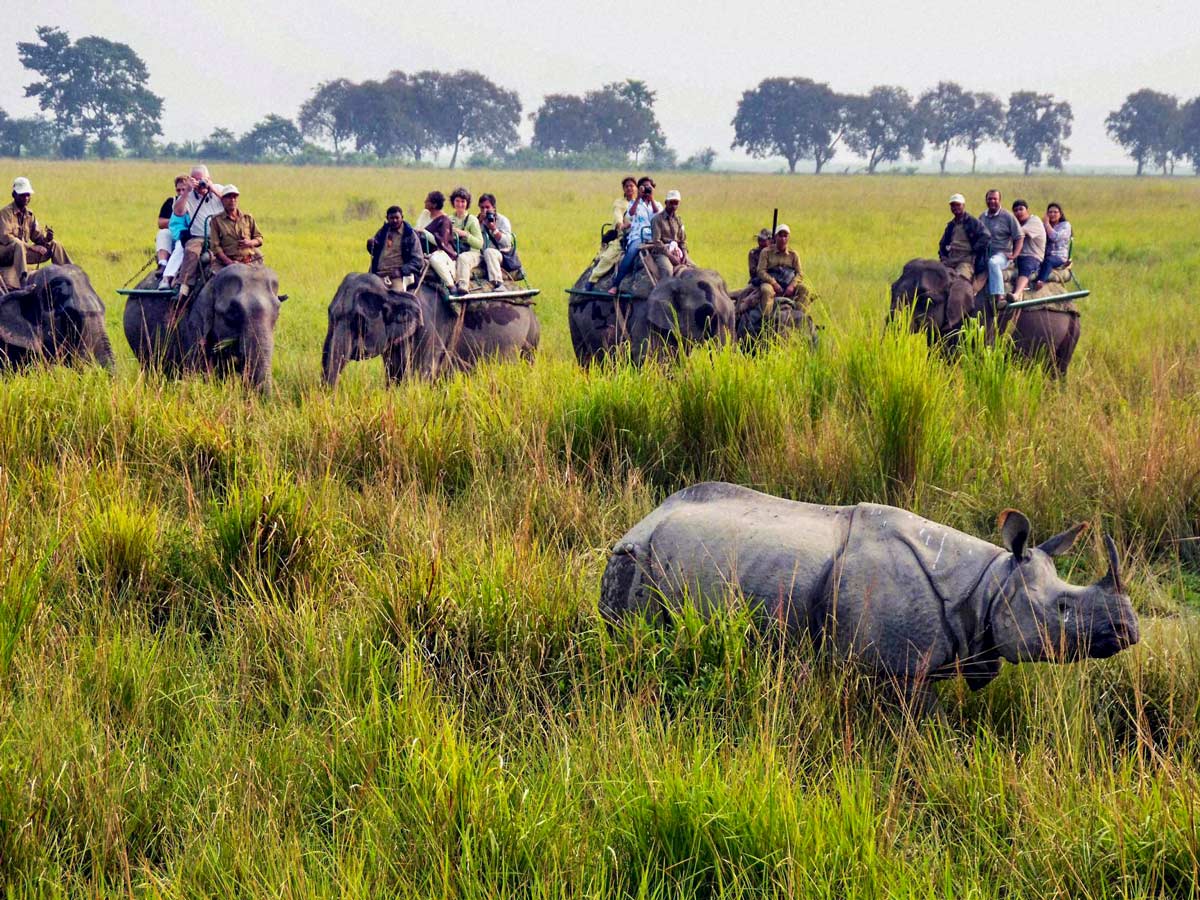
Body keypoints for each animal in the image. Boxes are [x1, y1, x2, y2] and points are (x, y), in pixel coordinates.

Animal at [321, 273, 542, 388]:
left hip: (530, 339)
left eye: (358, 321)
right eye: (329, 315)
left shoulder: (428, 330)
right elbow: (393, 376)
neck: (392, 289)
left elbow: (420, 378)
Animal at [566, 260, 734, 367]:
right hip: (574, 318)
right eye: (707, 314)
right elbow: (649, 355)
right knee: (586, 359)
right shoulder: (643, 313)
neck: (677, 276)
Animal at [888, 256, 1084, 376]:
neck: (957, 276)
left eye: (926, 300)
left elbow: (978, 359)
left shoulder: (984, 318)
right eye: (892, 289)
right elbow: (939, 356)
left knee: (1058, 371)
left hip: (1072, 331)